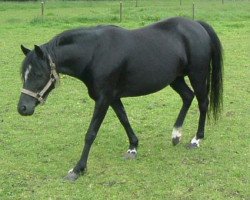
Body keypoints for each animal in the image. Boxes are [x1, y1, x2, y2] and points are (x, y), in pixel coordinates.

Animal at [18, 16, 224, 180]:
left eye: (38, 74)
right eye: (24, 74)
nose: (23, 108)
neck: (95, 53)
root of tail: (197, 24)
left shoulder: (103, 98)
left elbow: (91, 133)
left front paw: (78, 169)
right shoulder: (112, 97)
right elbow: (124, 118)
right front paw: (133, 147)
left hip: (198, 75)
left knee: (203, 103)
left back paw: (196, 139)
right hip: (176, 78)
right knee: (188, 97)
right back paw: (176, 135)